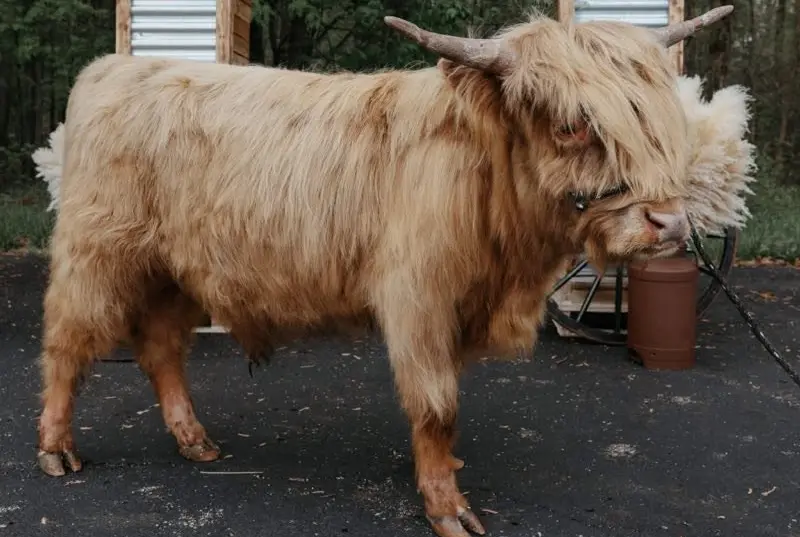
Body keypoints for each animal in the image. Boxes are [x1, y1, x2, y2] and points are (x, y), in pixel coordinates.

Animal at [32, 8, 738, 537]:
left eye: (657, 124)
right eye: (570, 126)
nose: (669, 224)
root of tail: (113, 69)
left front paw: (447, 469)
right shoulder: (420, 299)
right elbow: (436, 403)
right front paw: (447, 507)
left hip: (176, 272)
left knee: (159, 349)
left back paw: (194, 440)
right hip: (97, 254)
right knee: (67, 344)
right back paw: (56, 449)